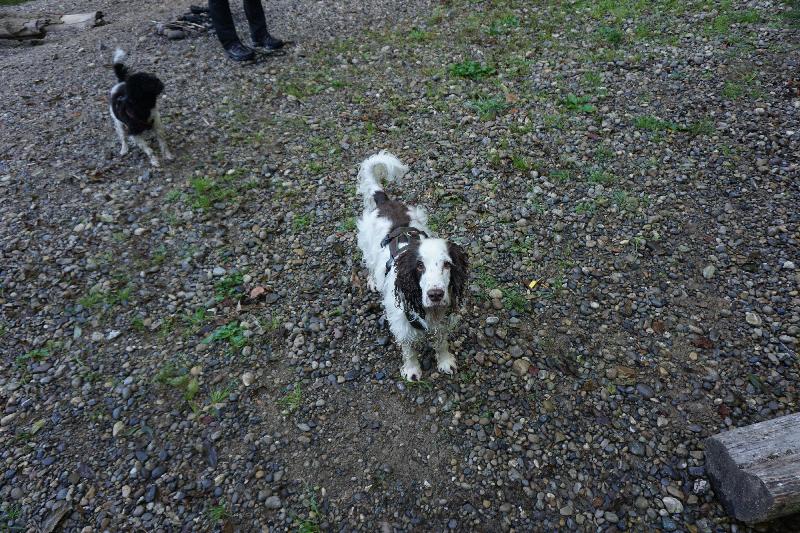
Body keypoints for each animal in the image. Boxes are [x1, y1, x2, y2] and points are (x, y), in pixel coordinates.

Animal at [357, 151, 468, 381]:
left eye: (447, 264)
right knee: (369, 265)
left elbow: (441, 342)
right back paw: (372, 281)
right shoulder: (402, 324)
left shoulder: (443, 321)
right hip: (366, 246)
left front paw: (445, 362)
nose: (435, 294)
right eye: (419, 267)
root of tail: (384, 201)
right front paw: (412, 370)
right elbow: (408, 349)